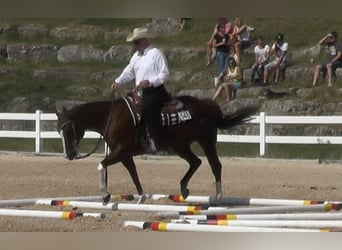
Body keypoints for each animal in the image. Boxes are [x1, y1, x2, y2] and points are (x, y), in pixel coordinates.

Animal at [56, 93, 258, 204]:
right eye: (59, 131)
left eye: (68, 130)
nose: (69, 155)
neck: (111, 117)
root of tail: (207, 105)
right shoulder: (124, 155)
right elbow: (133, 173)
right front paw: (141, 197)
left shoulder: (121, 151)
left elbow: (100, 164)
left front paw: (105, 195)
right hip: (179, 145)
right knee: (195, 162)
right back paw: (184, 189)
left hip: (206, 141)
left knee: (215, 165)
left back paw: (218, 197)